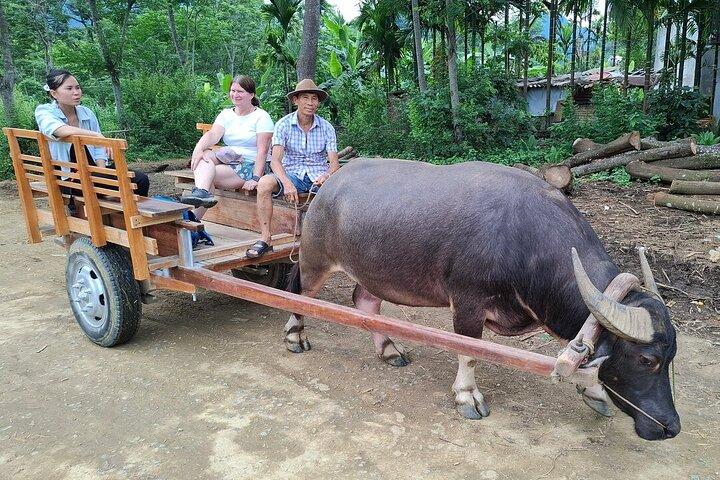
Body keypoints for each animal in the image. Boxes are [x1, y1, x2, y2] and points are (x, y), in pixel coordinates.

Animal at [285, 159, 680, 440]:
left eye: (672, 356)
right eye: (647, 359)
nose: (669, 427)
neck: (526, 241)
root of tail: (327, 186)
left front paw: (595, 392)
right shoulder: (468, 303)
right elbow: (470, 352)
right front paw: (467, 396)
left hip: (372, 271)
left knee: (365, 302)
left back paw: (388, 349)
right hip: (314, 259)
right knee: (299, 293)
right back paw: (294, 336)